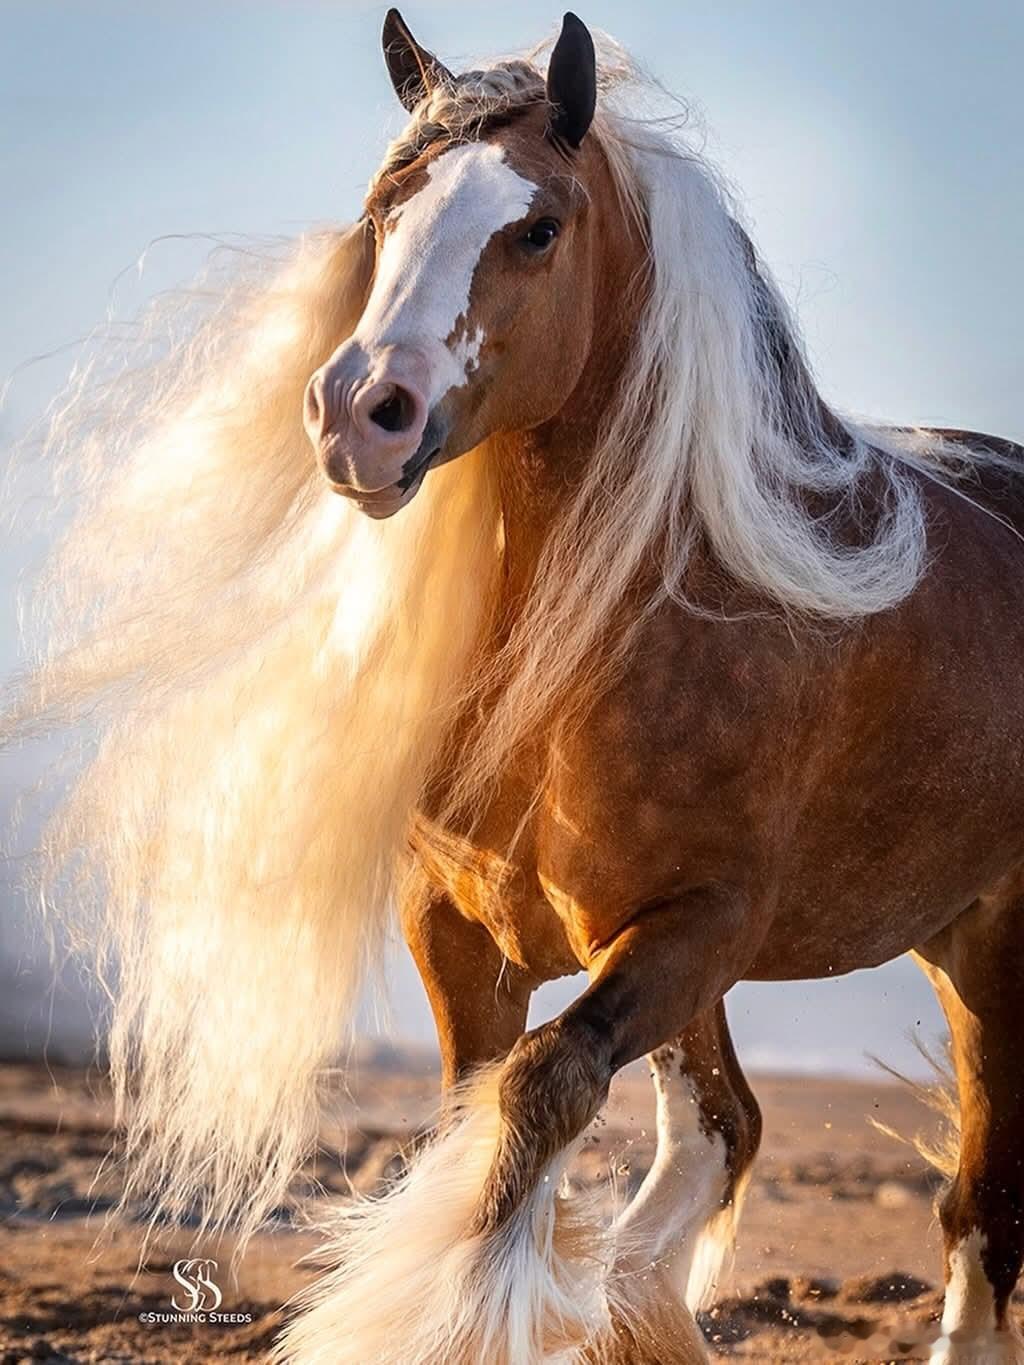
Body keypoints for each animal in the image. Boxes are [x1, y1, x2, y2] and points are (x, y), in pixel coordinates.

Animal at [6, 8, 1024, 1363]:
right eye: (386, 209)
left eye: (537, 228)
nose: (359, 413)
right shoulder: (464, 934)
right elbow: (480, 1119)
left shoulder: (698, 922)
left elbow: (541, 1092)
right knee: (734, 1131)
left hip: (991, 942)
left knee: (976, 1200)